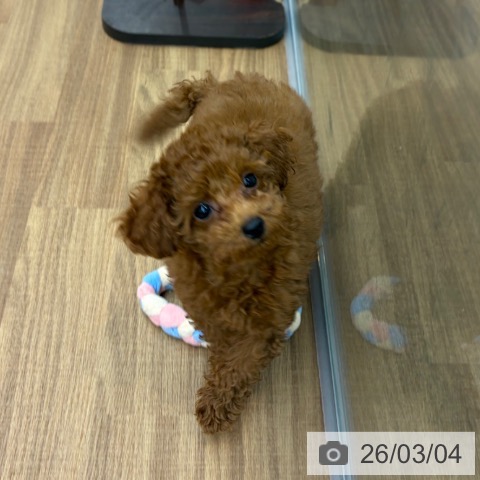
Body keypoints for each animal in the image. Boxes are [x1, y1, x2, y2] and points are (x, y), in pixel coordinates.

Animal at [117, 72, 323, 433]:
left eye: (250, 179)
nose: (254, 224)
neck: (236, 265)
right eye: (201, 210)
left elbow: (241, 361)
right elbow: (221, 337)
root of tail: (219, 83)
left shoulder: (267, 317)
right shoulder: (203, 301)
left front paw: (216, 404)